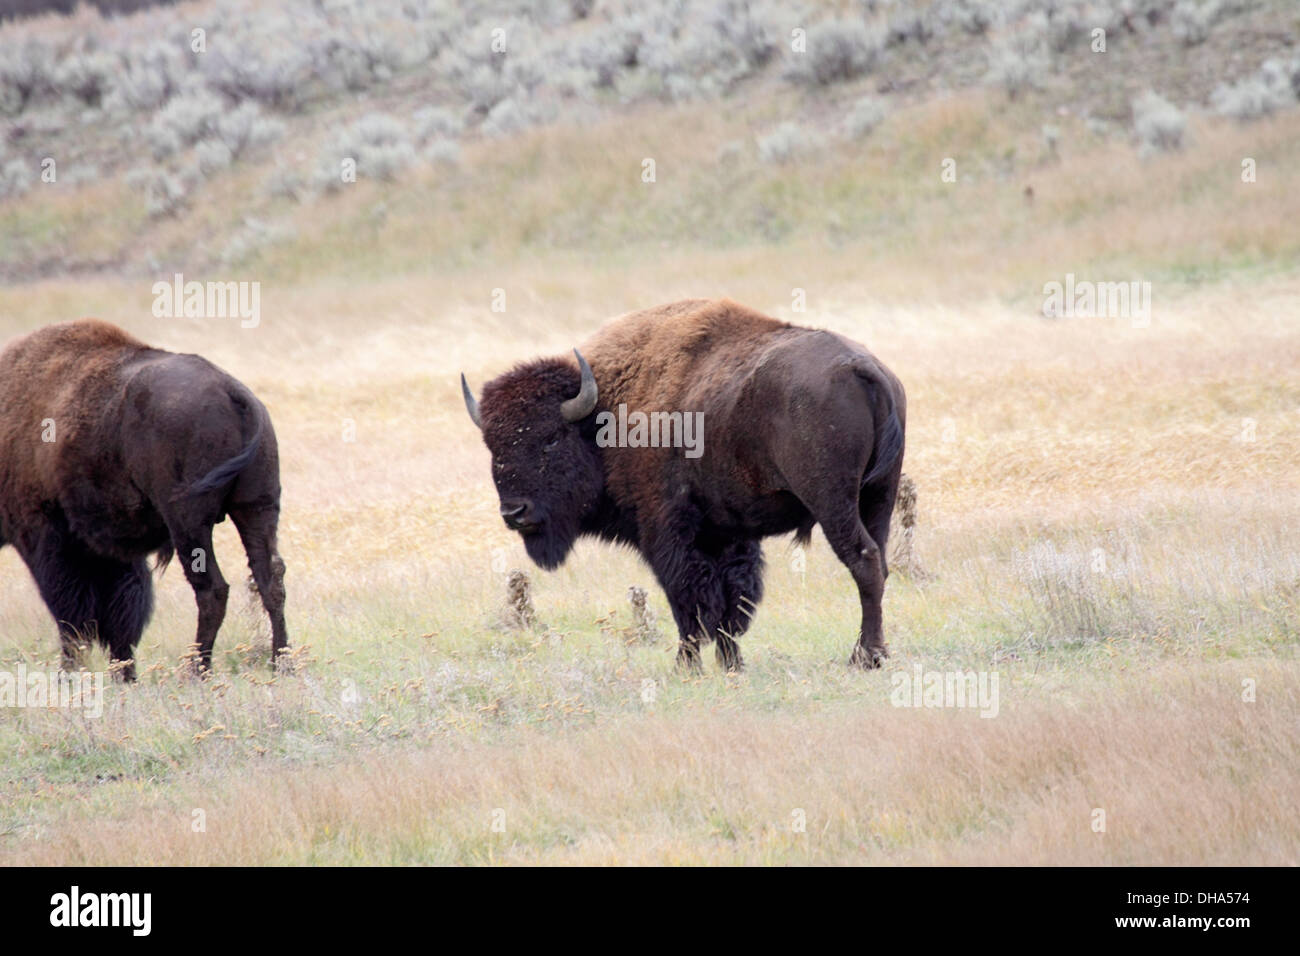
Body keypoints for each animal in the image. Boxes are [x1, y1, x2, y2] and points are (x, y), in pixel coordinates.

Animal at [0, 321, 287, 681]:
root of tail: (234, 393)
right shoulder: (109, 548)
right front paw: (123, 673)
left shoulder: (45, 536)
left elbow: (72, 612)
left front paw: (73, 673)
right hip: (257, 507)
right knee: (270, 578)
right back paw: (282, 662)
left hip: (188, 522)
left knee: (212, 589)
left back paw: (197, 670)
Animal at [465, 299, 904, 671]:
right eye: (491, 445)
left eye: (552, 438)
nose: (515, 512)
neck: (605, 415)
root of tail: (863, 368)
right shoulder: (728, 534)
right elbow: (732, 600)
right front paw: (730, 663)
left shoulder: (667, 533)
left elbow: (688, 601)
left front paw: (685, 667)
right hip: (880, 494)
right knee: (879, 563)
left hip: (832, 501)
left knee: (863, 561)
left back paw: (865, 657)